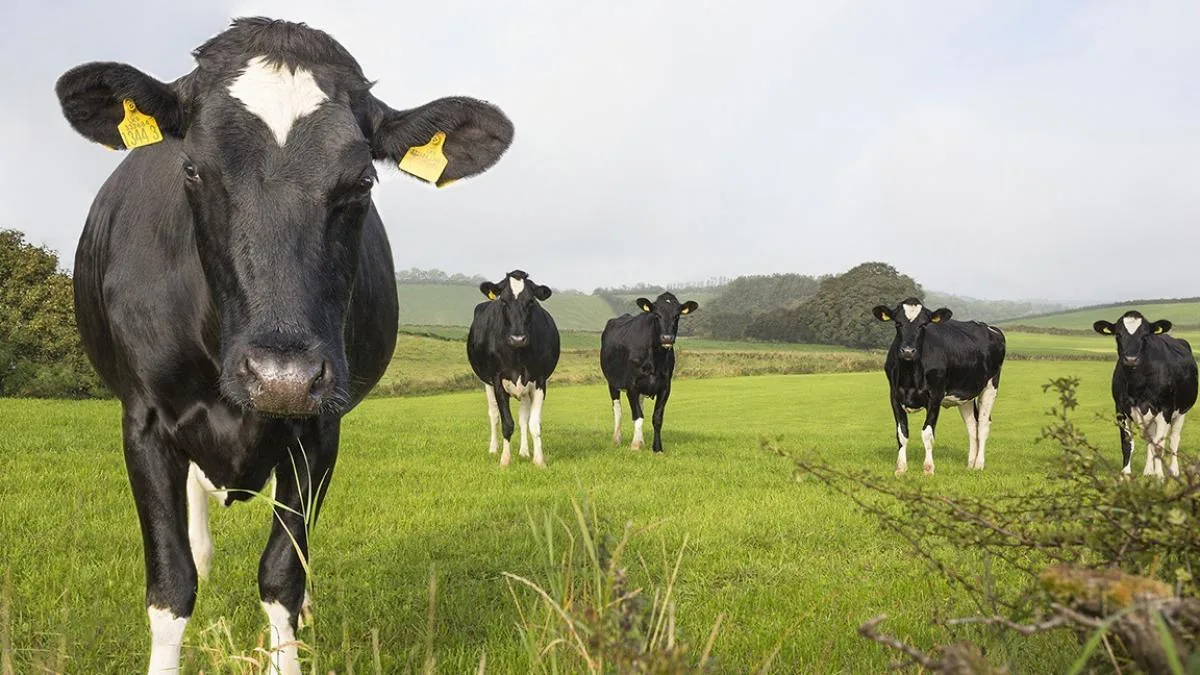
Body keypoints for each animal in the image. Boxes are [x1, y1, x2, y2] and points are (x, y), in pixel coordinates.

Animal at [54, 17, 513, 674]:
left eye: (363, 180)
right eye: (191, 169)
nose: (281, 376)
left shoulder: (319, 428)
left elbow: (281, 574)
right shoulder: (142, 421)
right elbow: (171, 585)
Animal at [467, 270, 561, 468]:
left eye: (531, 301)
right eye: (503, 301)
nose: (518, 338)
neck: (517, 354)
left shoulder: (540, 380)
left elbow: (533, 423)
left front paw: (539, 461)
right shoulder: (497, 380)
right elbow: (507, 423)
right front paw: (505, 460)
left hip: (524, 385)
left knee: (523, 419)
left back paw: (524, 452)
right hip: (486, 383)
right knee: (494, 414)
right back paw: (493, 449)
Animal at [600, 292, 699, 453]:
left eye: (677, 315)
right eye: (656, 315)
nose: (667, 338)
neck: (655, 358)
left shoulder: (665, 386)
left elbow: (657, 418)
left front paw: (657, 448)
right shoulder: (632, 385)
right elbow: (637, 416)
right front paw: (635, 445)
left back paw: (641, 440)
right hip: (612, 382)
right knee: (617, 409)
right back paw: (617, 439)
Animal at [872, 298, 1006, 475]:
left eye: (923, 325)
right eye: (898, 323)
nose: (907, 351)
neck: (910, 375)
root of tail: (989, 327)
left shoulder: (935, 396)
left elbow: (927, 434)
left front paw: (928, 468)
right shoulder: (894, 396)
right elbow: (902, 433)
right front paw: (900, 468)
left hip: (991, 385)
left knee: (983, 424)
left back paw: (979, 464)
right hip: (965, 395)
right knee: (972, 425)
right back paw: (970, 464)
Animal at [1093, 311, 1198, 477]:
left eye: (1145, 335)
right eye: (1118, 334)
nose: (1130, 359)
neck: (1137, 384)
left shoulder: (1165, 409)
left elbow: (1160, 445)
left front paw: (1160, 476)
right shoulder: (1120, 408)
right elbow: (1127, 443)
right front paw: (1125, 474)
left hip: (1181, 411)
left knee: (1173, 439)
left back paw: (1174, 471)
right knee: (1150, 440)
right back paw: (1148, 471)